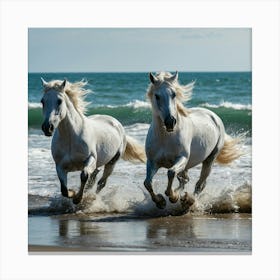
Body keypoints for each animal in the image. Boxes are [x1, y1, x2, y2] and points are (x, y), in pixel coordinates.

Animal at [41, 77, 147, 205]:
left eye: (59, 101)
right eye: (42, 101)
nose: (47, 127)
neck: (71, 138)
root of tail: (116, 123)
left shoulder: (90, 159)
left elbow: (84, 175)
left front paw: (77, 198)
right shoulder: (60, 166)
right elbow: (64, 190)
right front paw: (73, 193)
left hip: (112, 162)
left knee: (101, 183)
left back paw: (93, 198)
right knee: (94, 178)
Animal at [143, 71, 242, 209]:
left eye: (174, 94)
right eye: (157, 96)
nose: (170, 122)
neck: (166, 137)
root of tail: (213, 115)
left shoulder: (182, 158)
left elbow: (170, 172)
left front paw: (172, 196)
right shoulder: (152, 162)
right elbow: (147, 183)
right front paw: (161, 201)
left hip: (209, 159)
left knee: (200, 184)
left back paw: (189, 201)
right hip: (187, 166)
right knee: (185, 180)